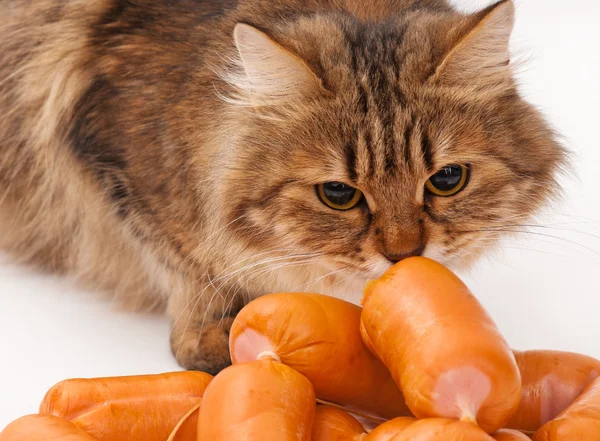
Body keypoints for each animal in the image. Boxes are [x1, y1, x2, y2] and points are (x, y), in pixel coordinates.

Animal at [0, 0, 564, 374]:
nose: (404, 254)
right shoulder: (111, 159)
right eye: (338, 195)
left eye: (447, 180)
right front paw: (209, 337)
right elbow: (185, 267)